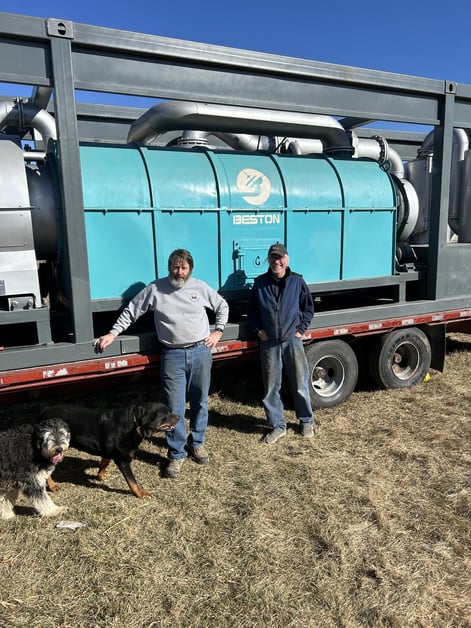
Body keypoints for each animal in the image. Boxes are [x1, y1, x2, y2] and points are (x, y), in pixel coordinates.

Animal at [42, 402, 179, 500]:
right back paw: (53, 486)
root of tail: (43, 412)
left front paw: (100, 476)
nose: (178, 416)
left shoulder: (108, 451)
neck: (134, 424)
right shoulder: (123, 460)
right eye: (166, 414)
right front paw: (140, 493)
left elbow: (104, 462)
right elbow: (132, 480)